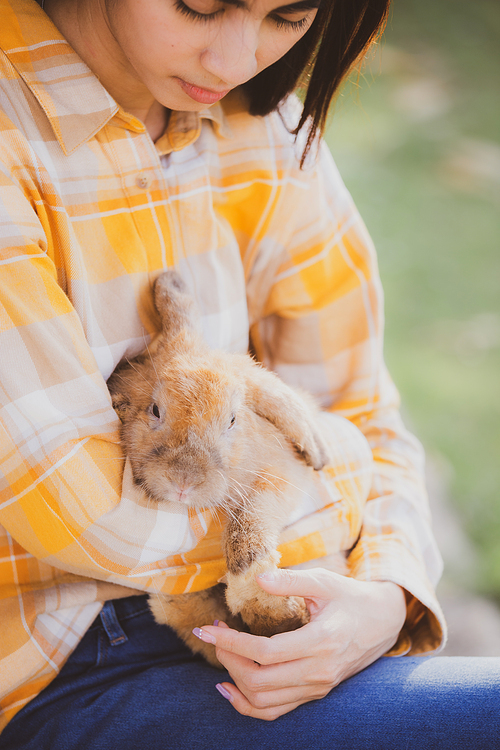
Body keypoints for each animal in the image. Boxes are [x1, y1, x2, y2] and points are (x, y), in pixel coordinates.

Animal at [107, 272, 330, 668]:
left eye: (232, 420)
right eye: (155, 410)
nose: (184, 480)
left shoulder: (282, 476)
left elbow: (253, 517)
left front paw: (253, 576)